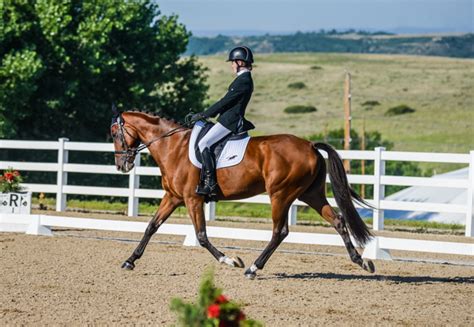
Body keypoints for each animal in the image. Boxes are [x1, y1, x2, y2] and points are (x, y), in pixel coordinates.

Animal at [111, 110, 374, 280]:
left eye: (114, 134)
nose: (122, 166)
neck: (173, 146)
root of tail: (310, 145)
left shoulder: (192, 199)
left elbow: (202, 236)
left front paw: (231, 261)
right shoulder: (173, 197)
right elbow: (151, 227)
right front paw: (129, 260)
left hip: (281, 195)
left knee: (280, 232)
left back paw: (253, 268)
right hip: (311, 194)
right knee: (338, 221)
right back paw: (361, 261)